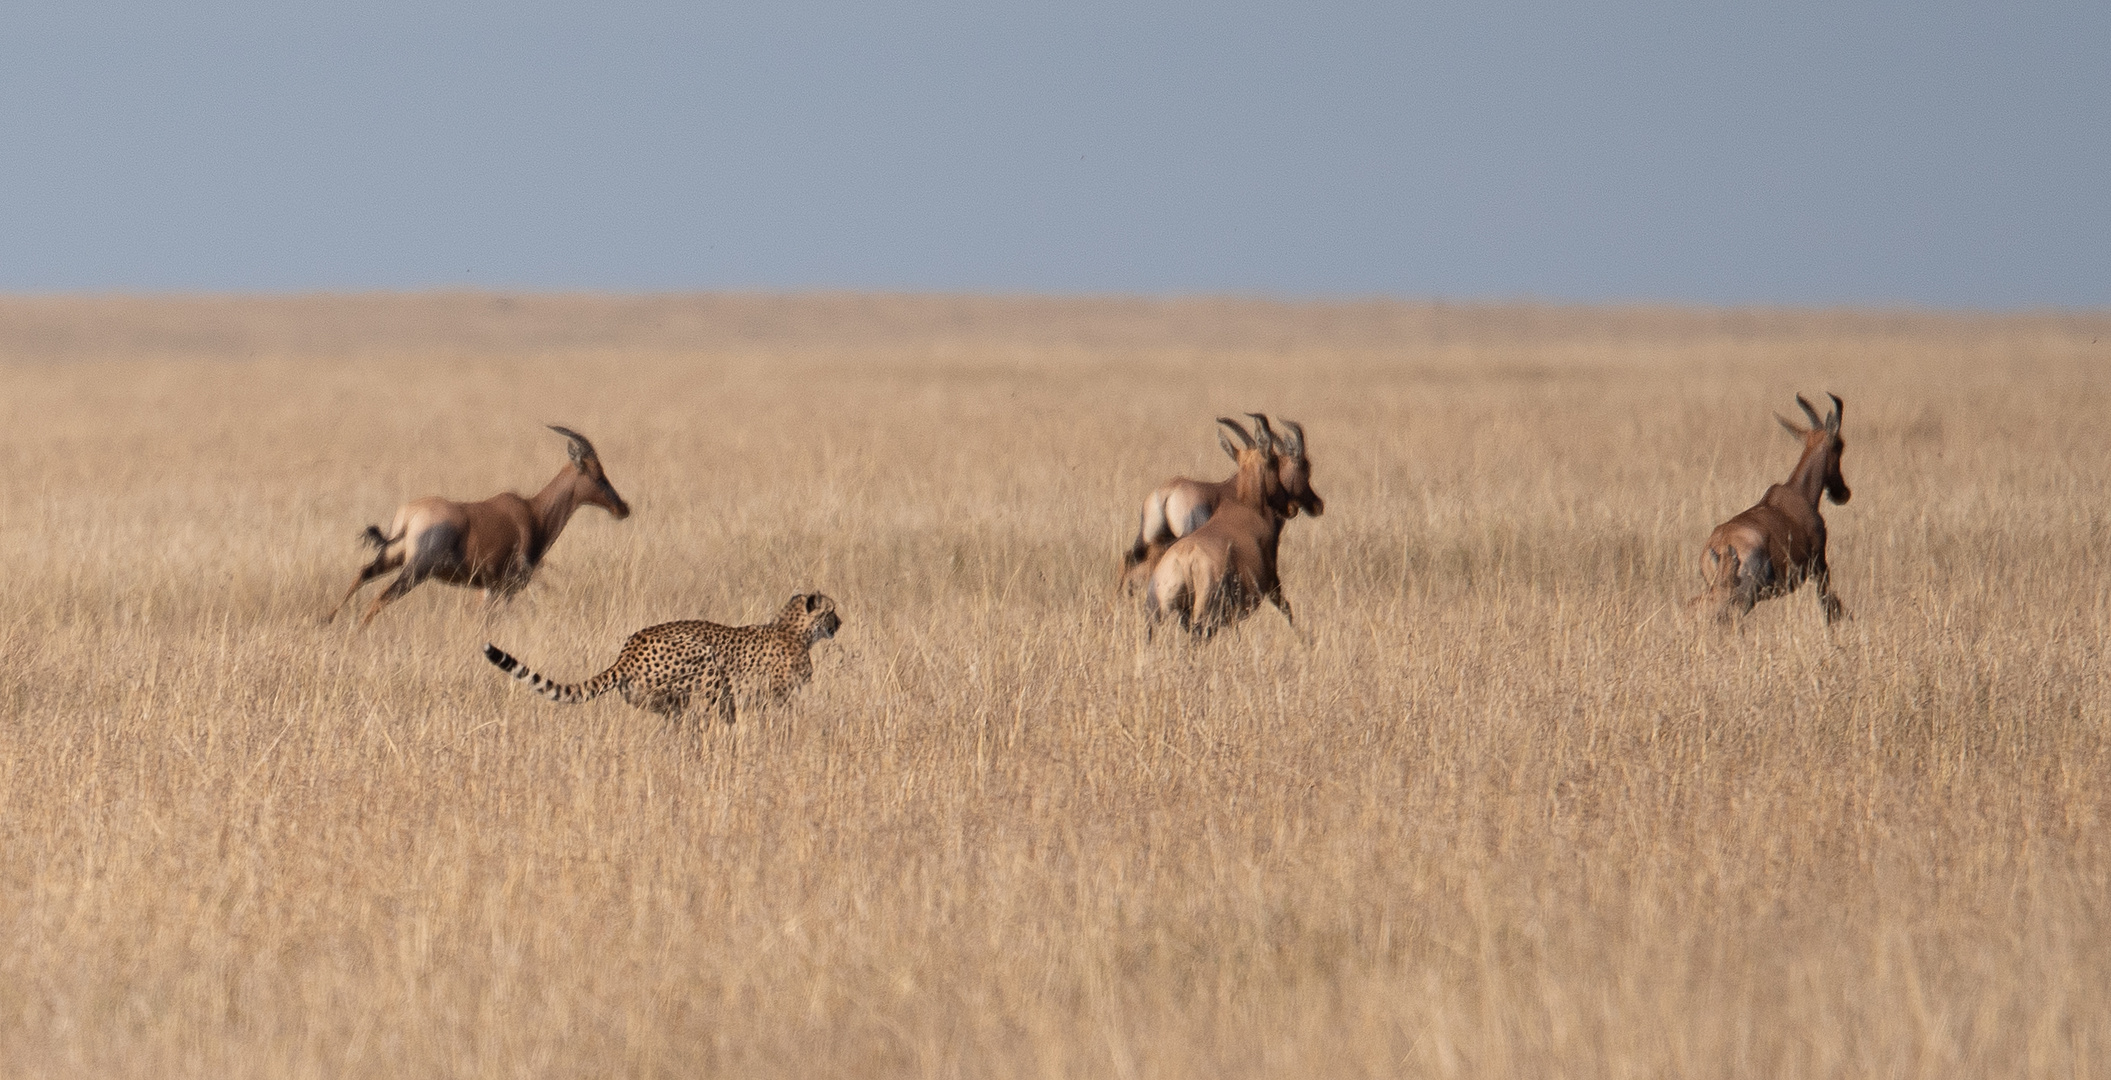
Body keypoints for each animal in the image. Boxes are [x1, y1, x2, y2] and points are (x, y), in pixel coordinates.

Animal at [325, 421, 629, 624]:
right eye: (598, 475)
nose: (622, 508)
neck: (532, 511)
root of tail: (409, 516)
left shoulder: (487, 587)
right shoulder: (505, 588)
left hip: (392, 557)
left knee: (363, 573)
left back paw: (327, 620)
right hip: (415, 570)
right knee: (381, 597)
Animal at [481, 590, 840, 725]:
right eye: (831, 610)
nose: (840, 622)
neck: (793, 629)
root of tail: (627, 652)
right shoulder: (777, 697)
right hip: (704, 663)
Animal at [1139, 413, 1300, 632]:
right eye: (1275, 462)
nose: (1291, 507)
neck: (1244, 505)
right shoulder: (1270, 581)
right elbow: (1285, 608)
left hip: (1157, 612)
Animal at [1688, 394, 1857, 624]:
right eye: (1839, 445)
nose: (1842, 493)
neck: (1797, 493)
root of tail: (1719, 544)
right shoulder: (1820, 566)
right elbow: (1831, 607)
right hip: (1744, 595)